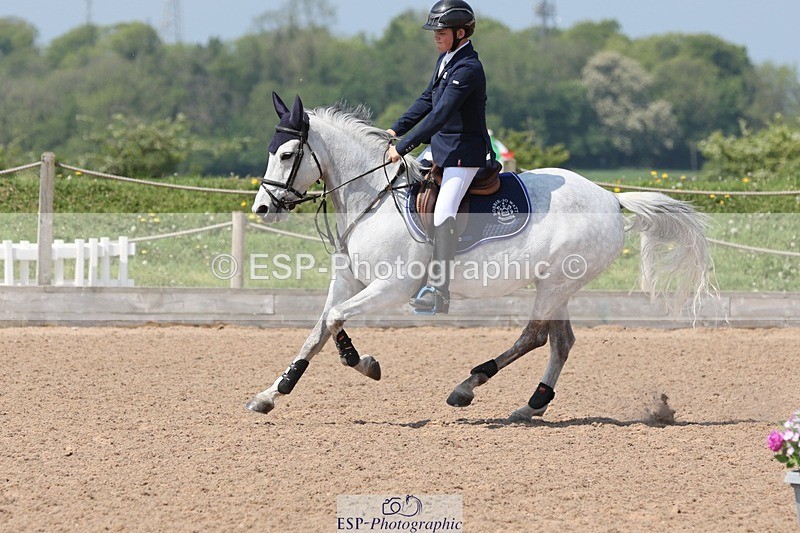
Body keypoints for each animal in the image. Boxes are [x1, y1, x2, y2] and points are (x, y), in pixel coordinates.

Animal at [246, 93, 712, 422]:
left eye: (287, 154)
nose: (263, 208)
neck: (371, 197)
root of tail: (612, 199)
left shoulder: (393, 285)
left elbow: (335, 319)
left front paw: (363, 364)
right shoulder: (349, 280)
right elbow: (320, 327)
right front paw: (273, 393)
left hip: (557, 282)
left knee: (534, 337)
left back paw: (469, 385)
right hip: (558, 285)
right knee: (560, 343)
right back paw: (531, 406)